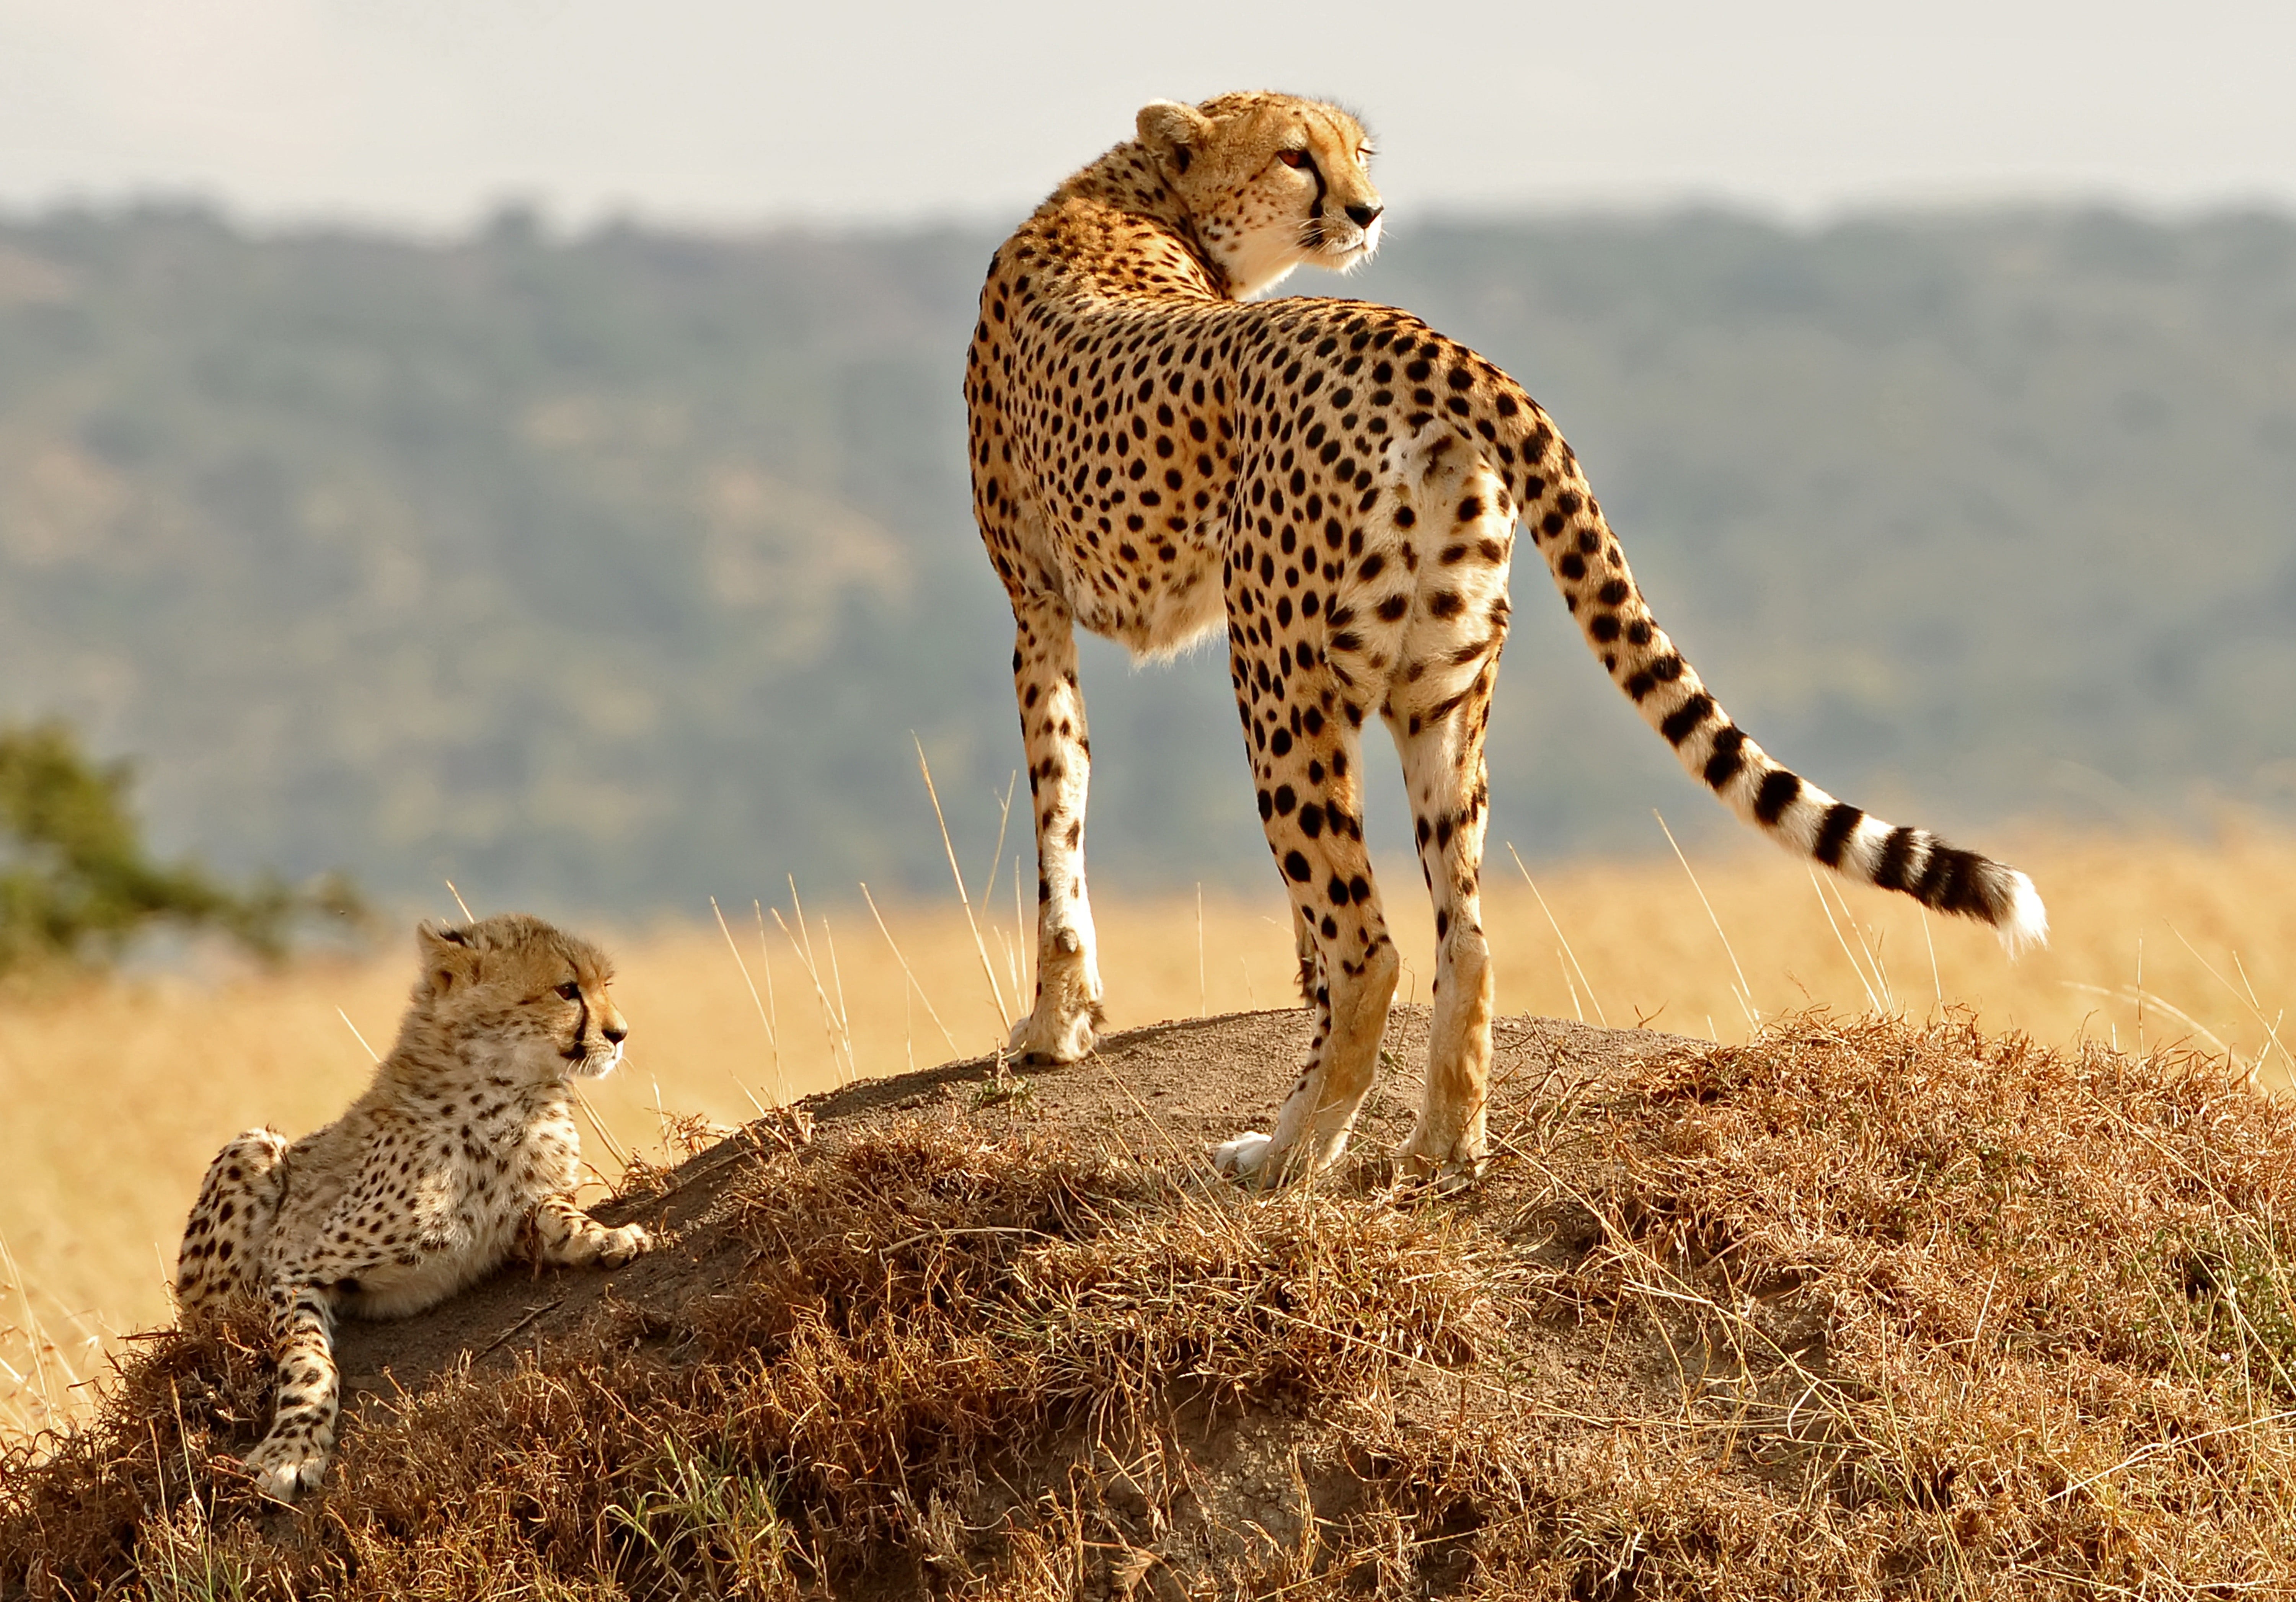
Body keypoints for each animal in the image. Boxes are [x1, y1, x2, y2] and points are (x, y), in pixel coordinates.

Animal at [172, 913, 653, 1501]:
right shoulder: (291, 1262)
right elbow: (310, 1361)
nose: (620, 1034)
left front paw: (606, 1235)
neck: (508, 1097)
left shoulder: (519, 1217)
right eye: (567, 989)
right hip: (253, 1148)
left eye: (605, 984)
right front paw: (293, 1449)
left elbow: (555, 1214)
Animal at [963, 91, 2048, 1186]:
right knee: (1467, 937)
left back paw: (1289, 1152)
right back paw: (1443, 1144)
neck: (1138, 199)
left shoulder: (1034, 607)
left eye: (1357, 153)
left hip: (1278, 678)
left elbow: (1059, 806)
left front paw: (1054, 1025)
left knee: (1373, 946)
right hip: (1440, 685)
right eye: (1295, 156)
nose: (1368, 211)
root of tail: (1405, 332)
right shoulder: (1051, 605)